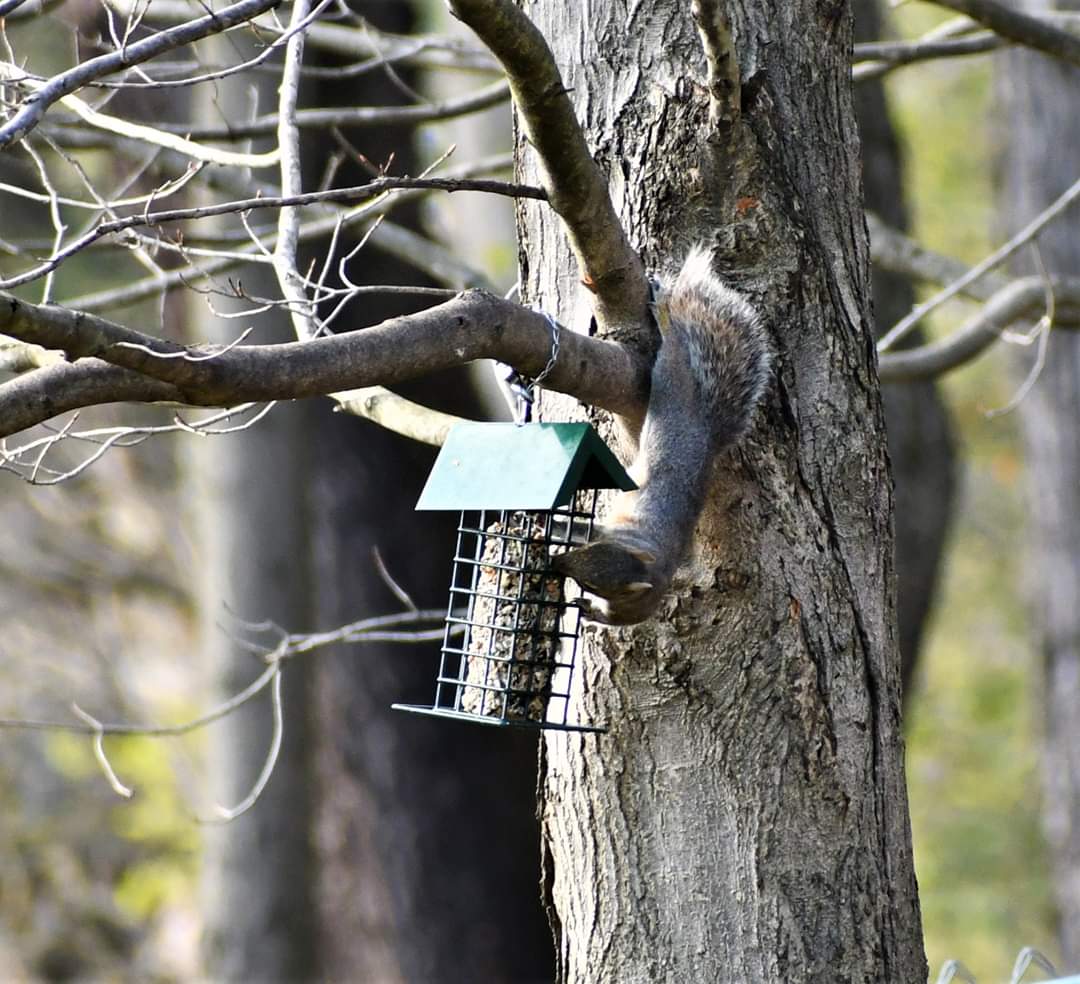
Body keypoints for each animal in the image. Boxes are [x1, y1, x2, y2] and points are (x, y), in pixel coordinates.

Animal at [551, 245, 772, 625]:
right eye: (592, 555)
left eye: (593, 582)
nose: (557, 564)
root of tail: (703, 428)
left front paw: (589, 609)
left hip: (670, 384)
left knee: (672, 354)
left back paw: (667, 317)